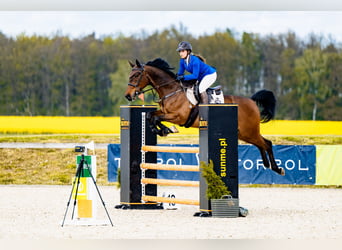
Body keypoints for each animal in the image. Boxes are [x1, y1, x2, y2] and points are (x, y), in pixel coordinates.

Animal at [124, 58, 284, 176]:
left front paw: (166, 130)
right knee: (262, 144)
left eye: (136, 75)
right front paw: (162, 130)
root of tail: (251, 101)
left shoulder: (178, 117)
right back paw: (267, 165)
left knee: (267, 143)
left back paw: (277, 168)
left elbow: (157, 118)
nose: (128, 96)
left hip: (248, 131)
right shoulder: (164, 112)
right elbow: (150, 115)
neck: (171, 91)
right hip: (244, 134)